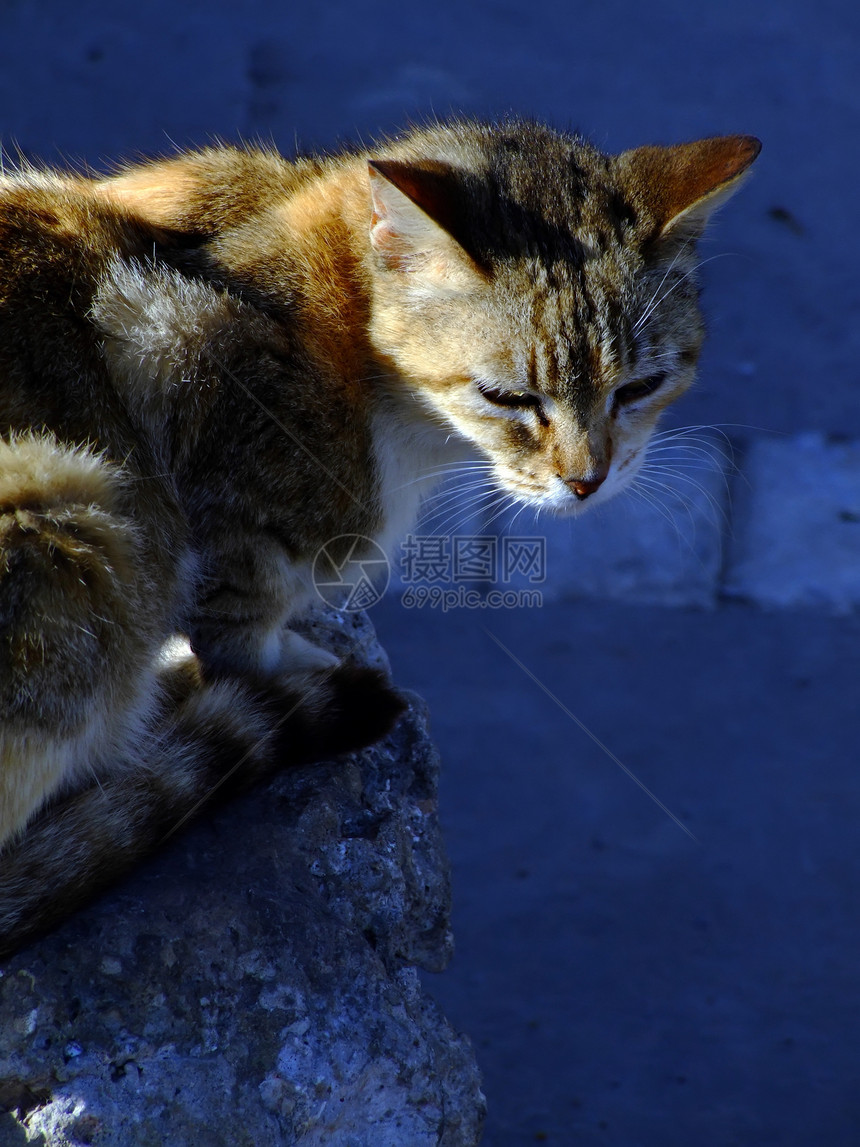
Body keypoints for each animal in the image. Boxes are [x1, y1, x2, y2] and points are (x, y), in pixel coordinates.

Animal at [0, 118, 761, 958]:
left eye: (639, 388)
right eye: (507, 397)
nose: (587, 480)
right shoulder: (187, 371)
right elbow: (240, 623)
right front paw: (278, 666)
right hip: (81, 520)